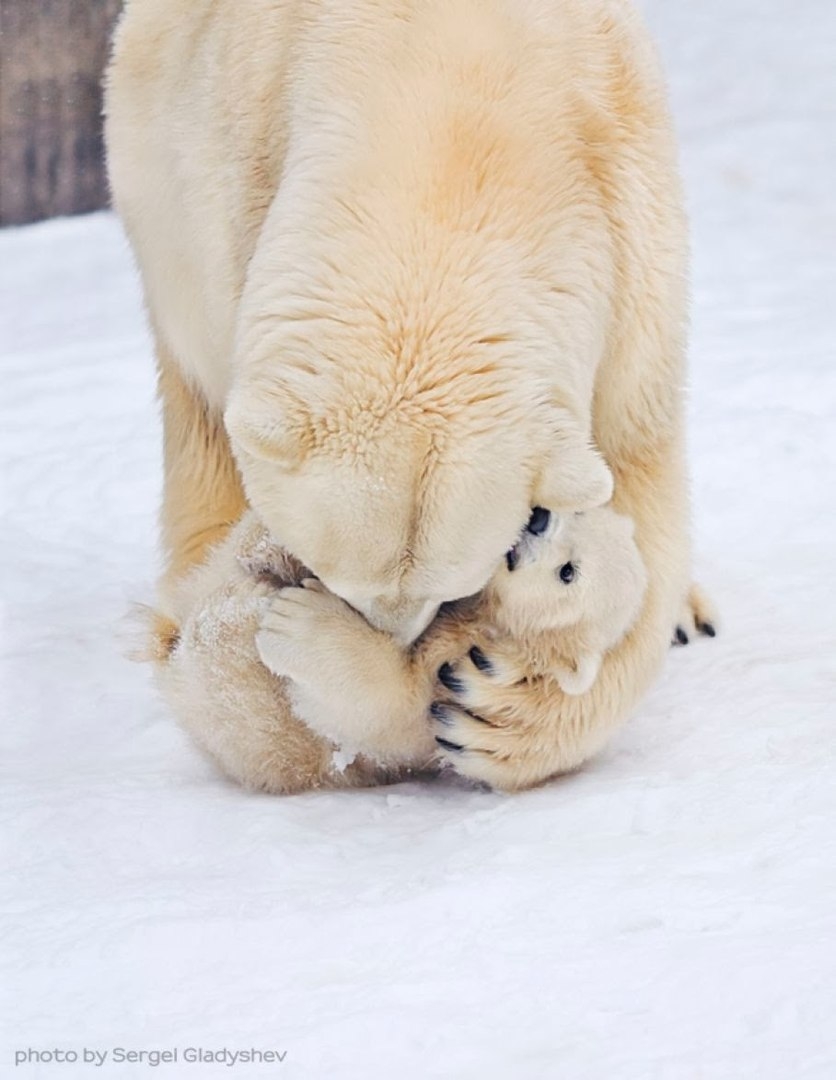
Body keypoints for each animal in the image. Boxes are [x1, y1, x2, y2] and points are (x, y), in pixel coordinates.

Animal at [108, 0, 704, 794]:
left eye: (451, 587)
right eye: (336, 571)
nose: (392, 636)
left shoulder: (627, 231)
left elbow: (635, 480)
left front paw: (494, 708)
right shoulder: (238, 179)